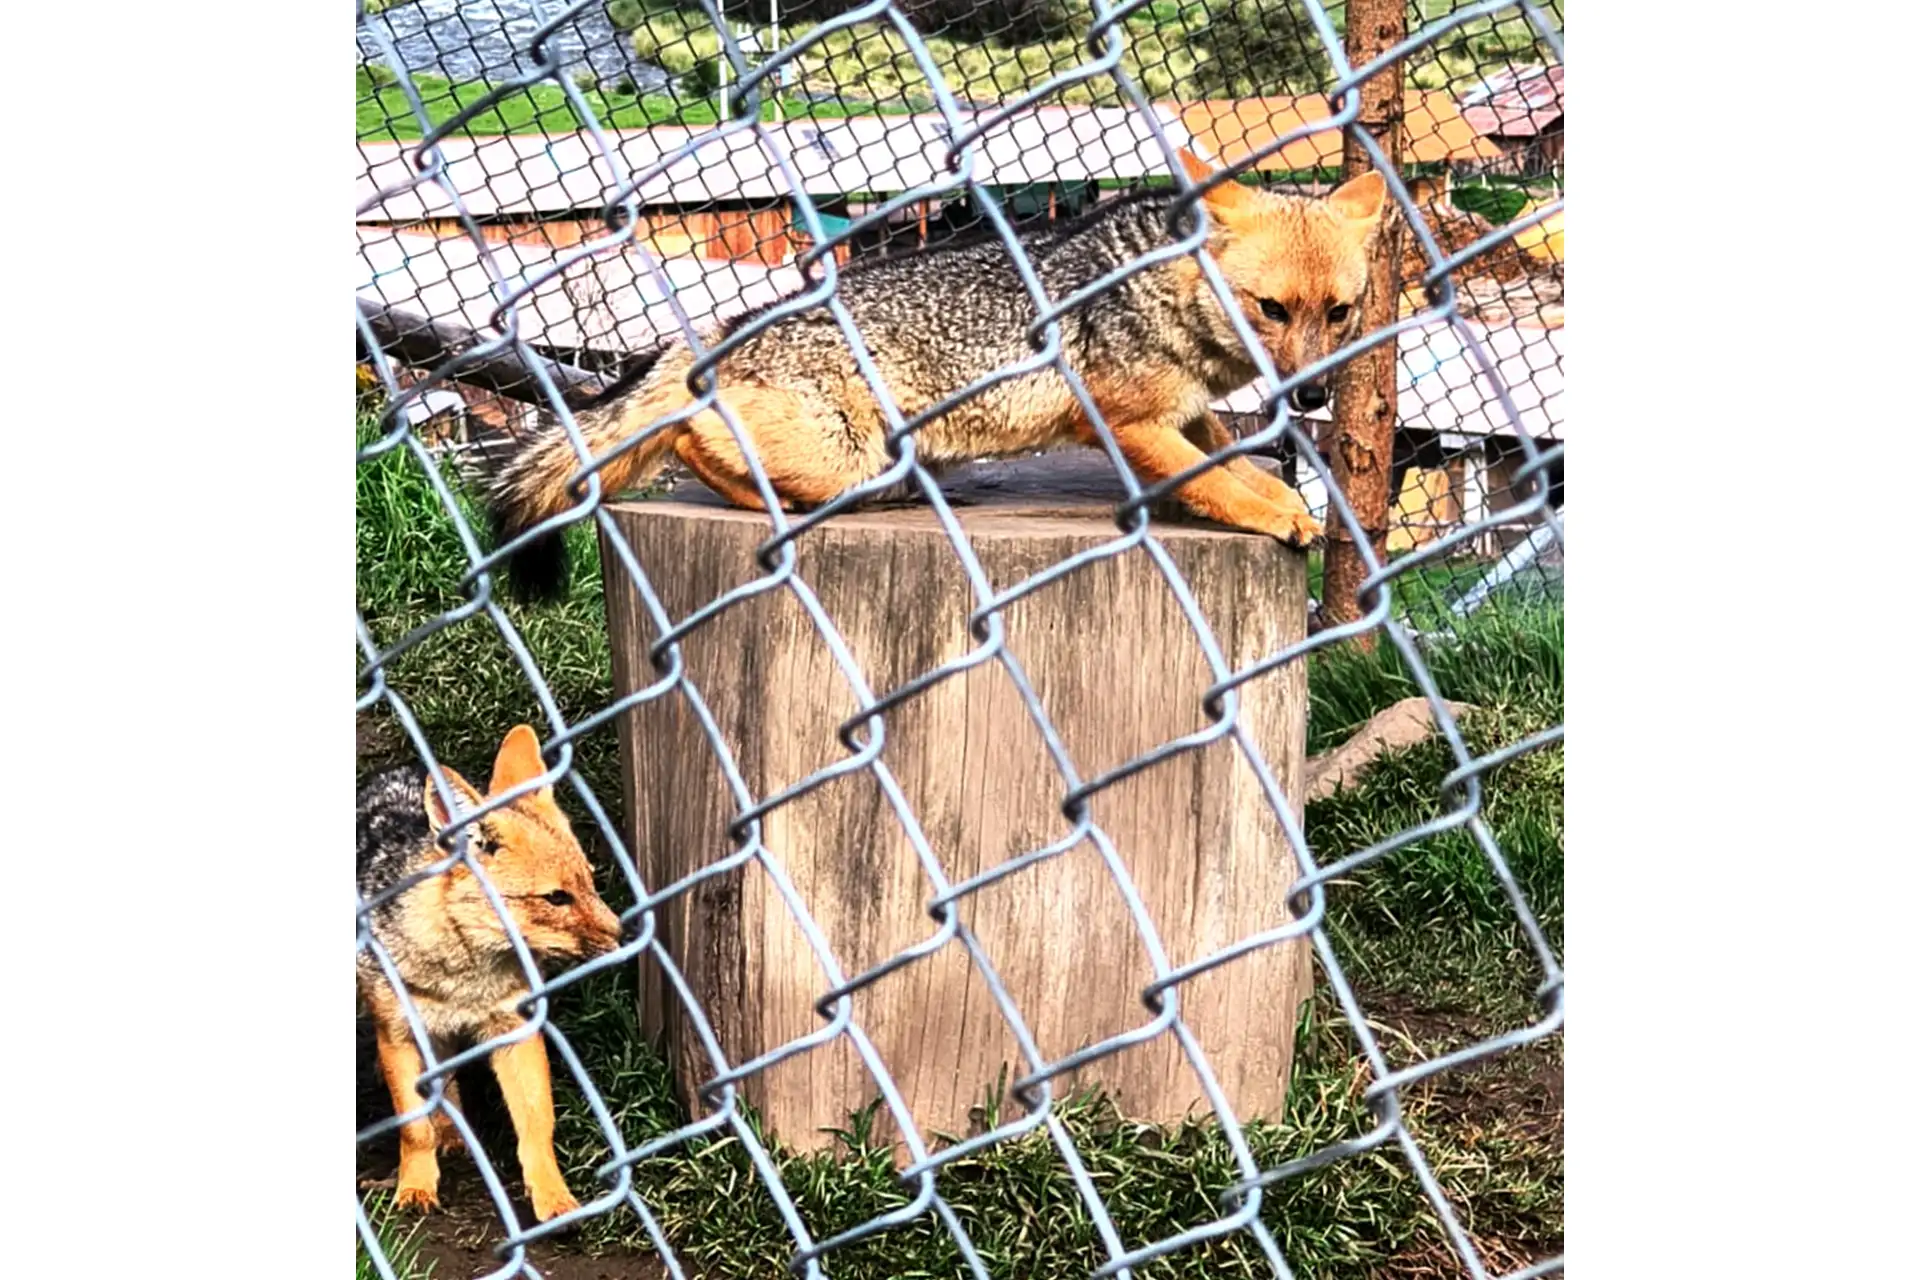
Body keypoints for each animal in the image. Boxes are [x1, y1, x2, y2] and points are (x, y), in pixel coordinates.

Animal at [356, 724, 623, 1222]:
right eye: (557, 898)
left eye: (590, 882)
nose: (626, 932)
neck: (464, 982)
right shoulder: (400, 1034)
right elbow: (414, 1128)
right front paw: (415, 1186)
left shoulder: (517, 1028)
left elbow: (537, 1122)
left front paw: (553, 1197)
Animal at [487, 149, 1389, 601]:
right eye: (1271, 309)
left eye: (1340, 313)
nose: (1314, 394)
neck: (1157, 285)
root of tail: (732, 326)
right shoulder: (1127, 419)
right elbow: (1212, 479)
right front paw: (1273, 515)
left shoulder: (1180, 409)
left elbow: (1228, 460)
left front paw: (1279, 498)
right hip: (843, 450)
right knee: (688, 436)